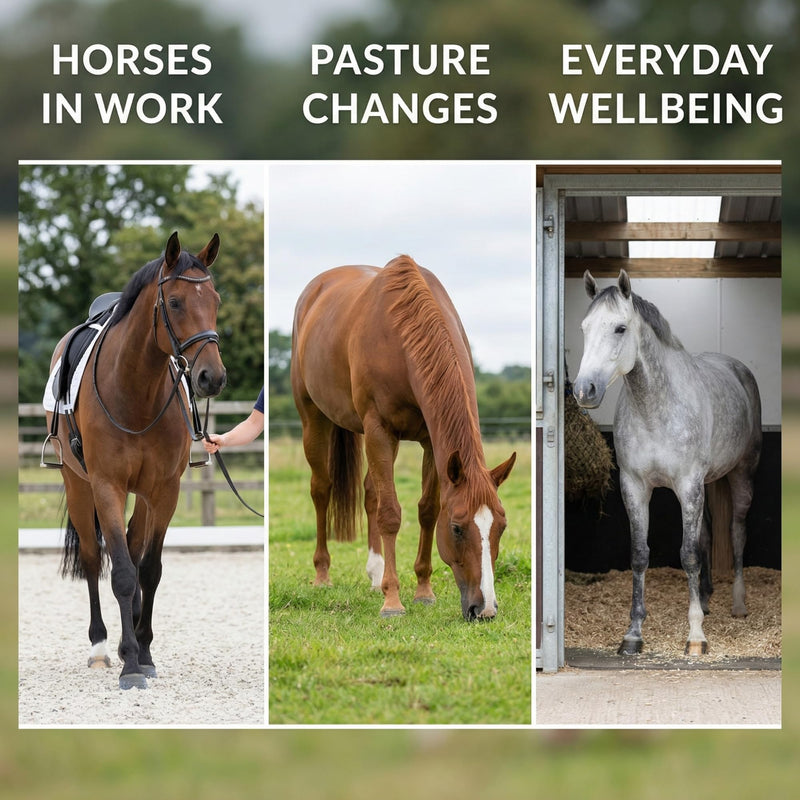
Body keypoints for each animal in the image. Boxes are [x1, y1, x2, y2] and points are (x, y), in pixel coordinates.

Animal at [45, 232, 226, 689]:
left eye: (215, 299)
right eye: (175, 302)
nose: (212, 378)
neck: (135, 391)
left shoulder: (164, 491)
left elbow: (149, 569)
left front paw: (144, 653)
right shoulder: (107, 486)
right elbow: (123, 573)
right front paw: (129, 665)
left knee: (132, 544)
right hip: (79, 486)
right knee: (94, 559)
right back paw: (100, 648)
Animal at [291, 255, 516, 620]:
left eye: (501, 526)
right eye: (457, 528)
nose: (484, 609)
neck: (402, 338)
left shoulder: (431, 443)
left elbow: (427, 510)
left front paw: (423, 590)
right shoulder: (379, 430)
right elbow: (391, 514)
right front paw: (393, 601)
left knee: (370, 491)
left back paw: (375, 573)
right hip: (315, 419)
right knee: (321, 490)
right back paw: (323, 575)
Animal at [574, 270, 762, 656]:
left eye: (620, 328)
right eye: (585, 328)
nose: (585, 390)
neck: (654, 408)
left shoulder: (687, 484)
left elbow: (688, 554)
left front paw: (696, 636)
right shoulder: (634, 486)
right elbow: (640, 554)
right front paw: (633, 634)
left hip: (741, 475)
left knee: (736, 531)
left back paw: (738, 604)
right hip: (707, 484)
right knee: (707, 534)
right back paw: (705, 599)